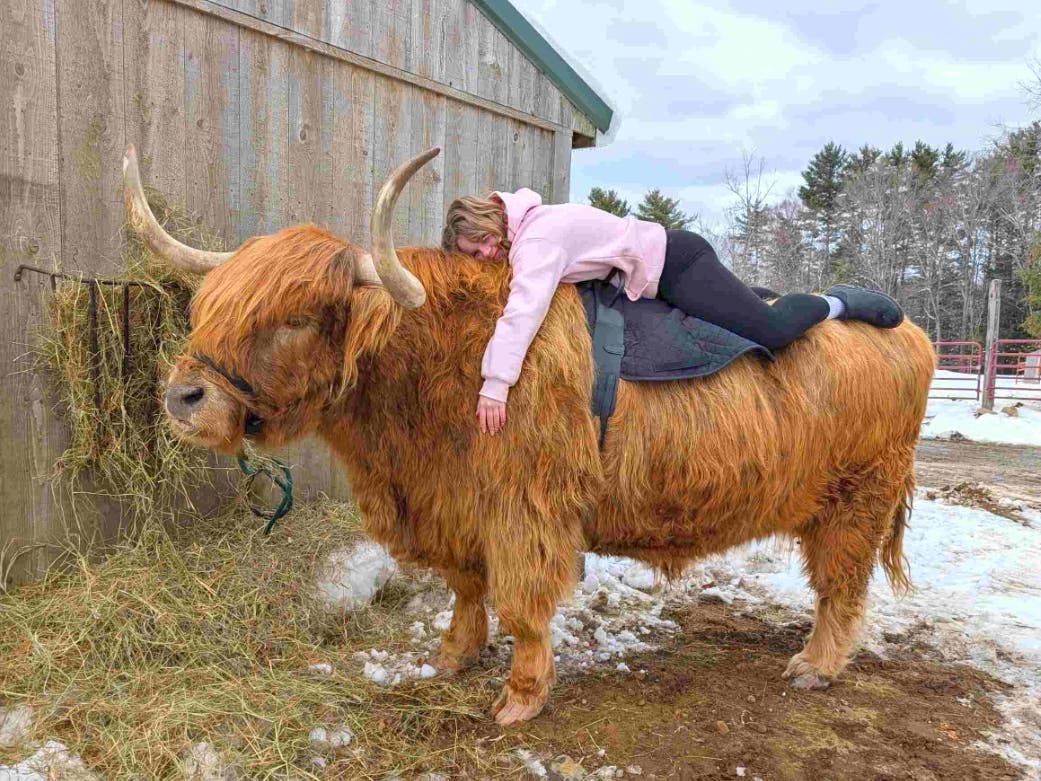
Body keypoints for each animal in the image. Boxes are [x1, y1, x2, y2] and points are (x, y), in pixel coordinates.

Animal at [124, 146, 936, 725]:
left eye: (293, 318)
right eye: (210, 304)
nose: (183, 397)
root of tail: (915, 337)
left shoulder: (526, 508)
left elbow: (520, 602)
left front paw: (520, 695)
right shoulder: (452, 504)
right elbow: (464, 587)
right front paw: (453, 656)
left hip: (856, 497)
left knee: (840, 586)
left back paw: (815, 665)